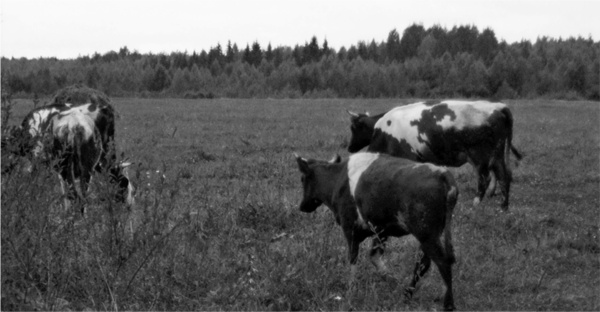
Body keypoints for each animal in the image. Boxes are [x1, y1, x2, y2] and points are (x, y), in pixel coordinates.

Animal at [292, 152, 458, 310]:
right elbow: (374, 256)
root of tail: (442, 173)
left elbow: (353, 259)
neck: (338, 178)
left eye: (302, 179)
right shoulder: (381, 231)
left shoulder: (350, 228)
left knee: (442, 262)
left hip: (427, 235)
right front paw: (391, 279)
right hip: (430, 236)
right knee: (423, 263)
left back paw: (448, 304)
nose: (302, 206)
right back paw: (406, 295)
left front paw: (351, 290)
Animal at [346, 101, 520, 211]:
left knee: (486, 178)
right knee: (504, 176)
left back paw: (476, 204)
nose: (349, 147)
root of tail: (498, 106)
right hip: (496, 156)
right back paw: (503, 207)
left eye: (353, 128)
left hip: (480, 156)